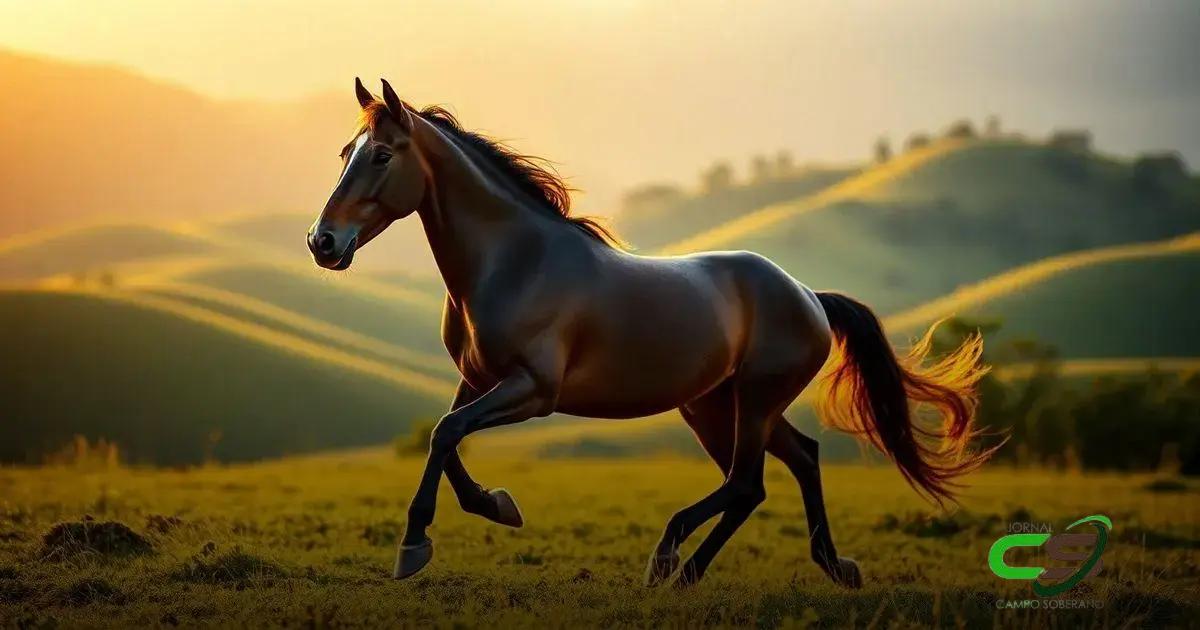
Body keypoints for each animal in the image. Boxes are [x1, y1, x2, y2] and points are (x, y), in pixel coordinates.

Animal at [307, 78, 993, 587]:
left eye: (382, 155)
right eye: (343, 154)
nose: (323, 242)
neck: (518, 260)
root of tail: (808, 297)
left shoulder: (533, 390)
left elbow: (446, 434)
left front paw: (414, 545)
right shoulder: (477, 380)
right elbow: (444, 440)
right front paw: (495, 506)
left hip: (751, 401)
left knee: (747, 482)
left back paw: (670, 558)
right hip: (717, 405)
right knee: (786, 466)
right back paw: (804, 566)